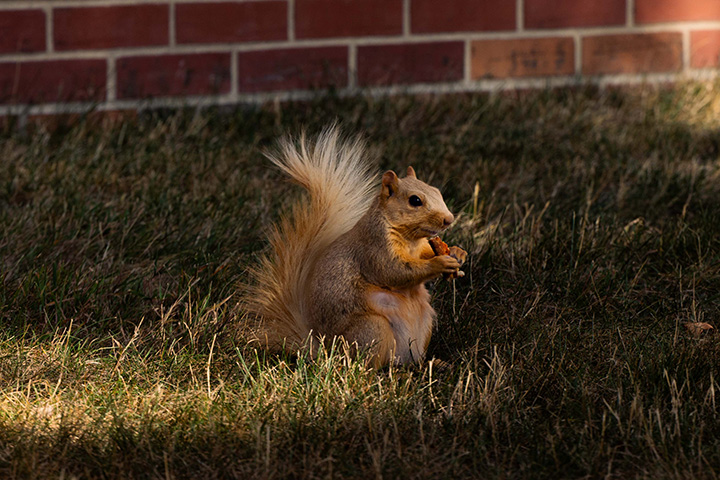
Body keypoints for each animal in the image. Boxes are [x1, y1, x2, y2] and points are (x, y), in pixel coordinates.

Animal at [245, 127, 467, 368]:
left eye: (437, 191)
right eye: (415, 200)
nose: (449, 219)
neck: (411, 239)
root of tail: (327, 351)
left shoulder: (420, 247)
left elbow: (424, 254)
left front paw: (458, 252)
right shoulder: (373, 246)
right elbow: (394, 271)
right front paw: (440, 262)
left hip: (425, 322)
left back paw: (432, 363)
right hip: (372, 330)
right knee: (368, 362)